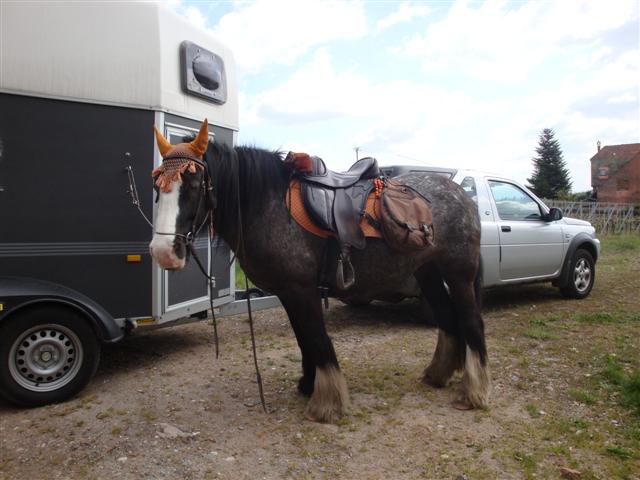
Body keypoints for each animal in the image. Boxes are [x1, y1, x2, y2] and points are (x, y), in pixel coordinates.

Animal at [150, 121, 490, 424]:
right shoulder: (288, 292)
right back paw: (438, 375)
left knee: (471, 322)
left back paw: (474, 392)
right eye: (156, 187)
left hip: (459, 274)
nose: (163, 252)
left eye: (194, 185)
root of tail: (461, 193)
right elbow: (304, 338)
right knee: (447, 319)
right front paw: (307, 384)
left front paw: (327, 403)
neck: (269, 206)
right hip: (428, 273)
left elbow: (317, 338)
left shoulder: (302, 290)